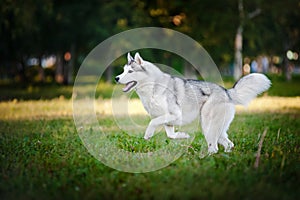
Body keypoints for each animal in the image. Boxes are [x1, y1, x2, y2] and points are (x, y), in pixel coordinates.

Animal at [114, 52, 270, 154]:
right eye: (123, 71)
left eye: (130, 71)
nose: (116, 78)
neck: (152, 87)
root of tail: (226, 91)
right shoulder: (168, 121)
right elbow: (170, 135)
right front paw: (183, 136)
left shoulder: (174, 115)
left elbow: (152, 122)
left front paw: (148, 134)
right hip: (217, 129)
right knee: (229, 144)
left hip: (208, 126)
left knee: (214, 147)